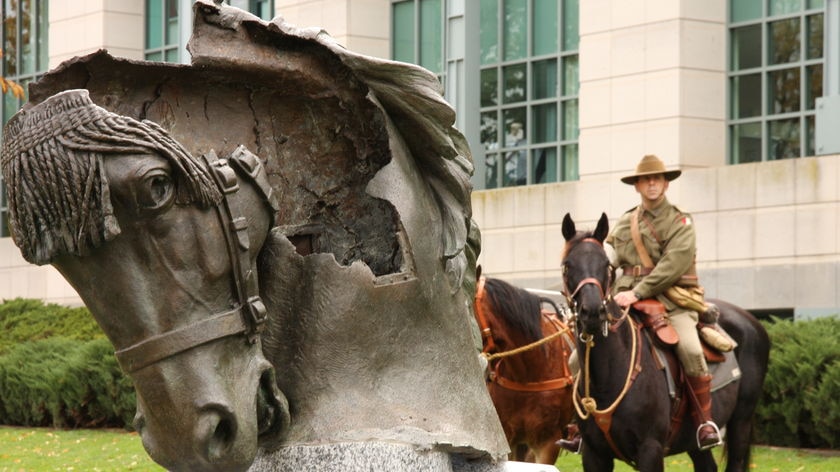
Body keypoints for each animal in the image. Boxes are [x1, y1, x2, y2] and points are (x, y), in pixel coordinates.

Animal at [560, 215, 772, 472]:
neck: (610, 373)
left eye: (606, 265)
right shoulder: (593, 454)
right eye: (568, 265)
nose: (592, 312)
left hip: (741, 421)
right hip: (694, 441)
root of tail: (751, 321)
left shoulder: (650, 449)